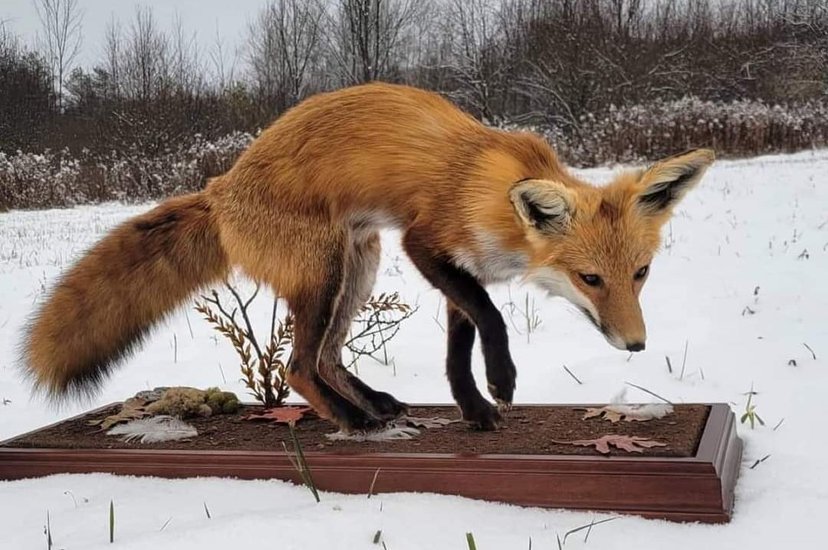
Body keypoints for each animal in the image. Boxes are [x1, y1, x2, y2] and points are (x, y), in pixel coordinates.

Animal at [21, 82, 714, 432]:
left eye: (641, 273)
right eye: (589, 278)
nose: (636, 345)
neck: (501, 217)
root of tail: (218, 190)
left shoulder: (459, 271)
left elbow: (457, 352)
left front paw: (474, 412)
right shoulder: (425, 244)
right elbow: (492, 320)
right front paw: (503, 381)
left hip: (360, 266)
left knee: (327, 357)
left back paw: (374, 404)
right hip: (328, 270)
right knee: (299, 366)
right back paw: (353, 423)